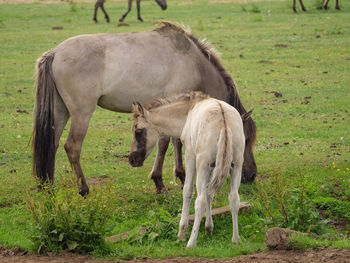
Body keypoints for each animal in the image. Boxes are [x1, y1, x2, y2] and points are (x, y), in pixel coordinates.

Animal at [32, 21, 258, 196]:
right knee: (72, 146)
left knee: (51, 145)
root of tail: (55, 53)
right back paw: (84, 189)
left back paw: (48, 188)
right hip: (81, 113)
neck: (193, 62)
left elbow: (174, 141)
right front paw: (165, 181)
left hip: (60, 111)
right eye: (245, 140)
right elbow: (168, 143)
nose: (251, 175)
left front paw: (177, 177)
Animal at [129, 92, 249, 249]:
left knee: (200, 200)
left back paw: (191, 242)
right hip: (235, 165)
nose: (131, 159)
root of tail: (224, 121)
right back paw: (236, 239)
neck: (188, 112)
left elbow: (187, 191)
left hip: (202, 165)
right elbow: (210, 194)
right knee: (234, 198)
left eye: (138, 131)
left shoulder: (191, 157)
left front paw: (182, 232)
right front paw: (209, 228)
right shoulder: (213, 166)